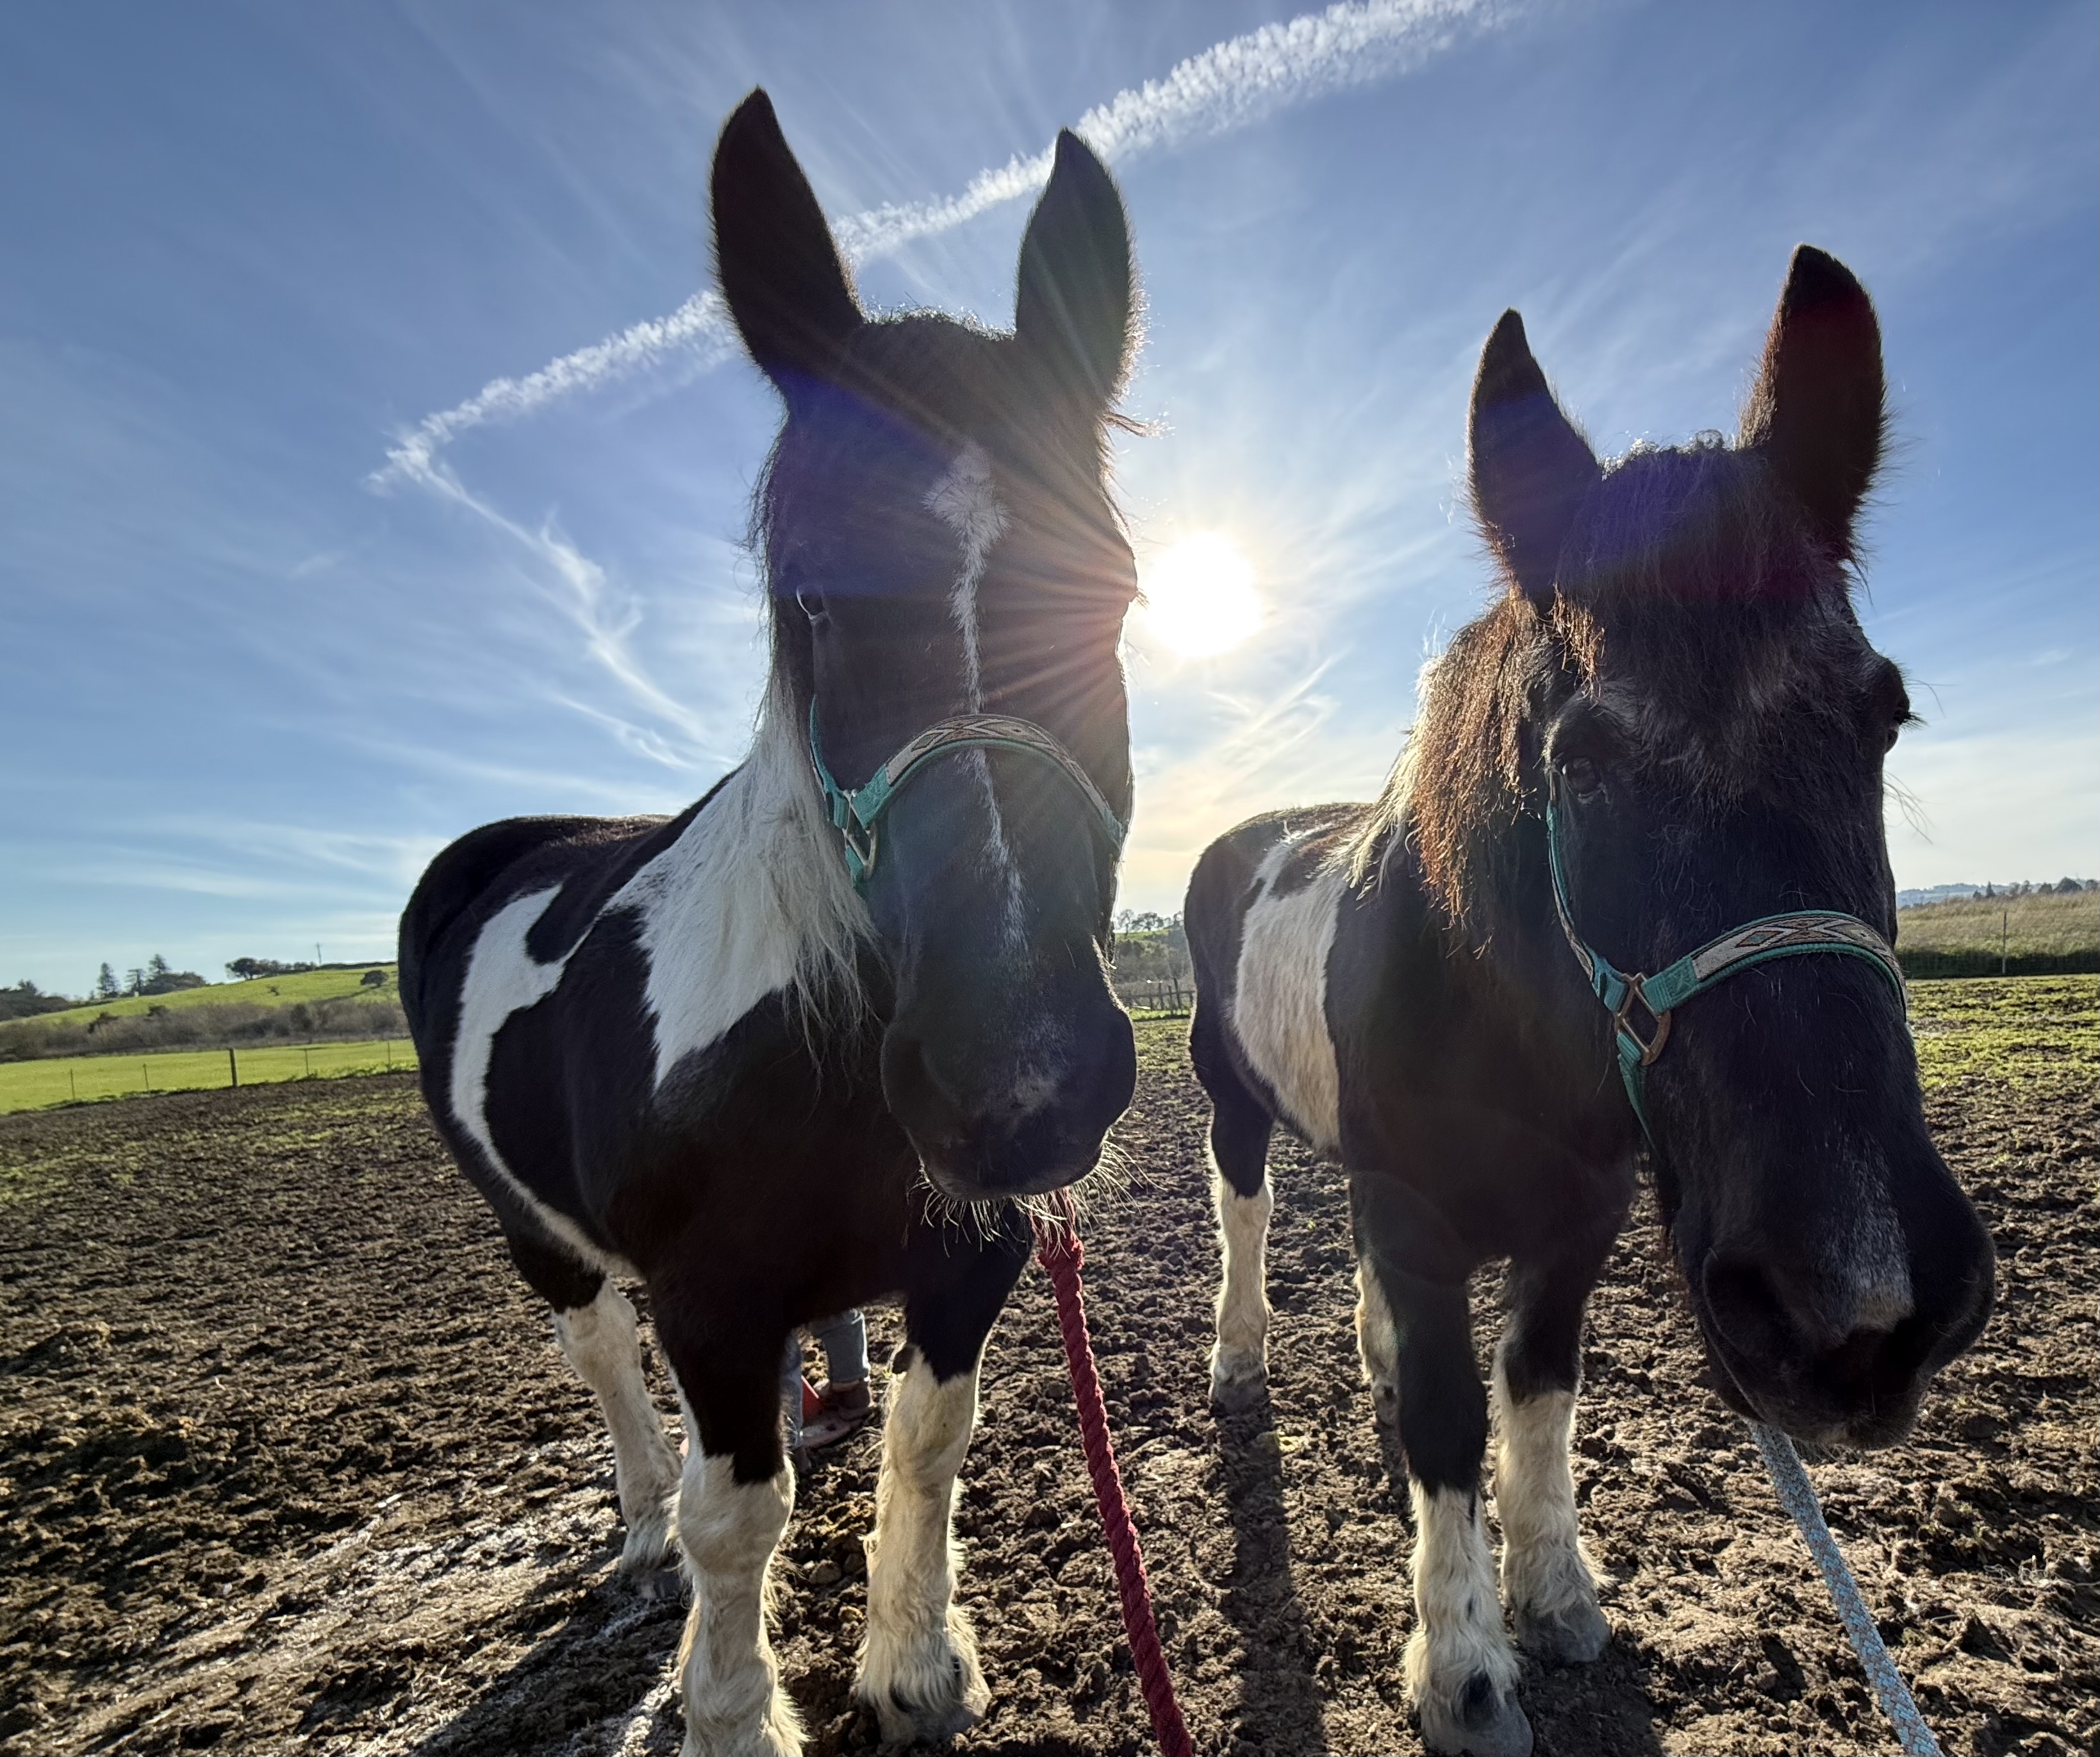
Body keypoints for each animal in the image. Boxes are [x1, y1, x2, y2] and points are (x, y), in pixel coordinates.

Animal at [398, 91, 1142, 1757]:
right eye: (809, 597)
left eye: (1121, 590)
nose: (1023, 1080)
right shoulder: (713, 1301)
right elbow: (732, 1509)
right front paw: (733, 1707)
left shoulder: (971, 1252)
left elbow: (930, 1439)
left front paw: (914, 1660)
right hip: (538, 1234)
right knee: (602, 1365)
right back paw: (628, 1535)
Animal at [1183, 246, 1995, 1756]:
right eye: (1583, 756)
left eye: (1883, 716)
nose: (1860, 1304)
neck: (1506, 1026)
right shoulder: (1420, 1211)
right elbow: (1451, 1422)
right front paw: (1461, 1667)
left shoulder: (1578, 1224)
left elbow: (1537, 1395)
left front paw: (1554, 1596)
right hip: (1232, 1109)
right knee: (1247, 1215)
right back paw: (1238, 1358)